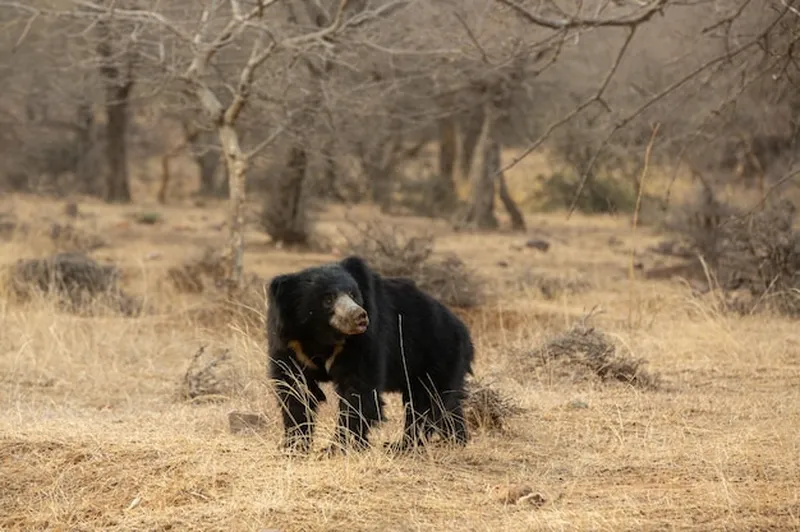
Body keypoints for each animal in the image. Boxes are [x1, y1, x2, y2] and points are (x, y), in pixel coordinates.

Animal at [268, 256, 476, 456]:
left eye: (353, 294)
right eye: (327, 299)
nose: (359, 316)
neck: (322, 337)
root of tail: (463, 330)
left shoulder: (363, 342)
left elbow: (358, 390)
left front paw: (336, 447)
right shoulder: (290, 345)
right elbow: (295, 389)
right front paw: (294, 446)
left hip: (437, 356)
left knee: (426, 401)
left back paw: (402, 446)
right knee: (446, 405)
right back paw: (455, 440)